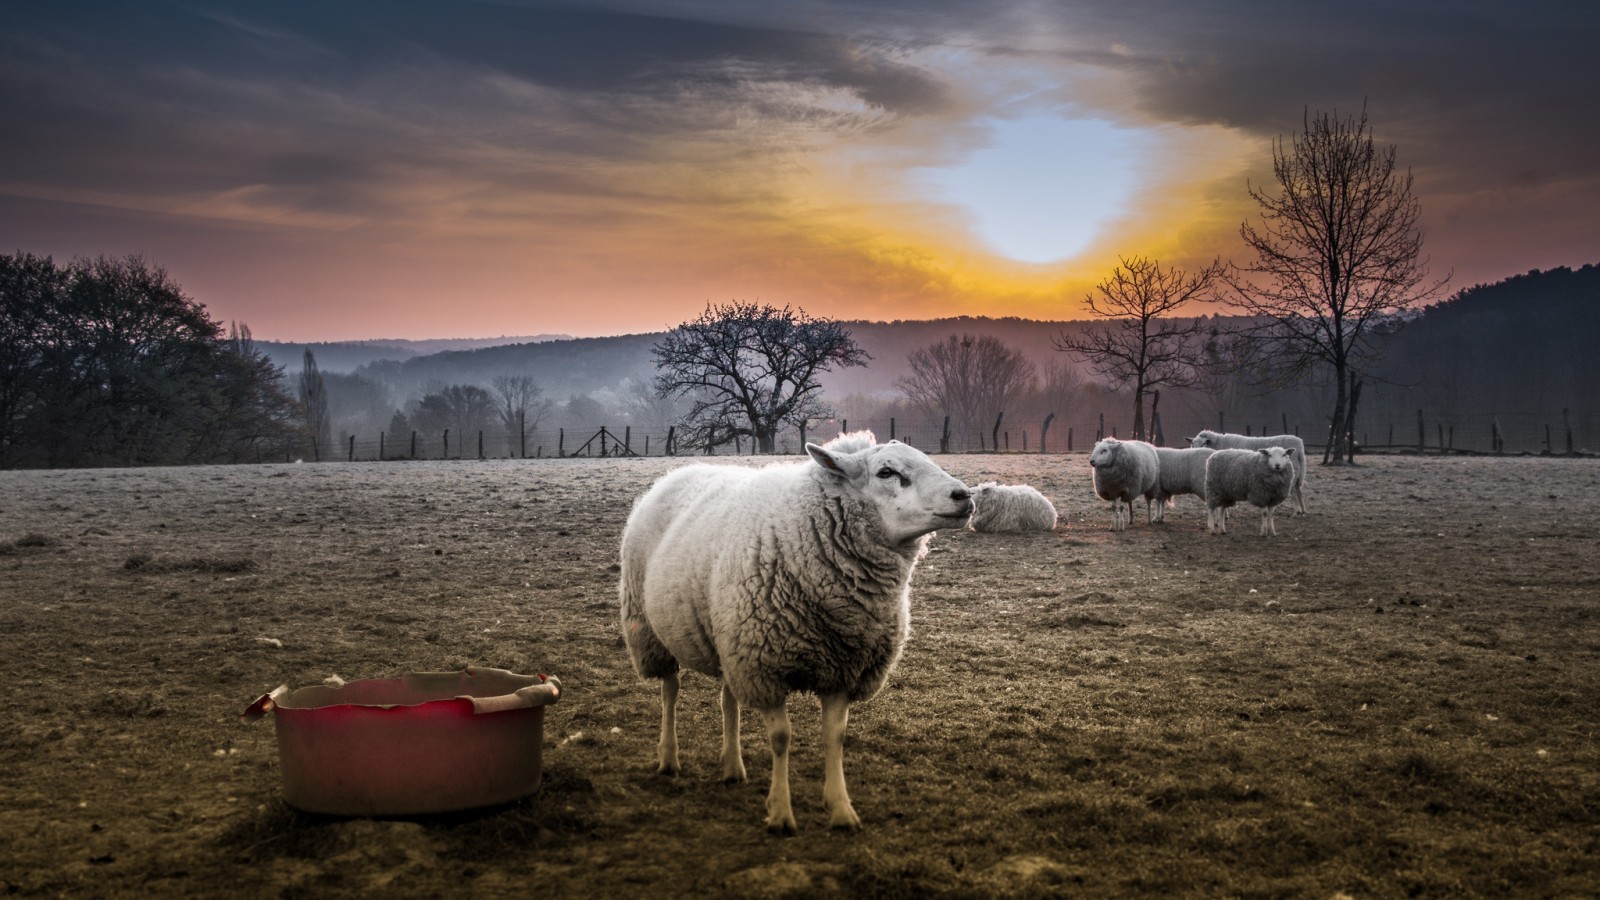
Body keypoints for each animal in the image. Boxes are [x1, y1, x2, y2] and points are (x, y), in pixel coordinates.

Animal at [614, 432, 966, 832]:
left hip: (730, 640)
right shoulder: (766, 667)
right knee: (669, 691)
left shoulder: (841, 667)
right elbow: (781, 738)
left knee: (727, 699)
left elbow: (835, 736)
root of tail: (677, 472)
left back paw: (732, 765)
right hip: (651, 632)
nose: (964, 496)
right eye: (886, 472)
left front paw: (840, 809)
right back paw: (669, 757)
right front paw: (781, 812)